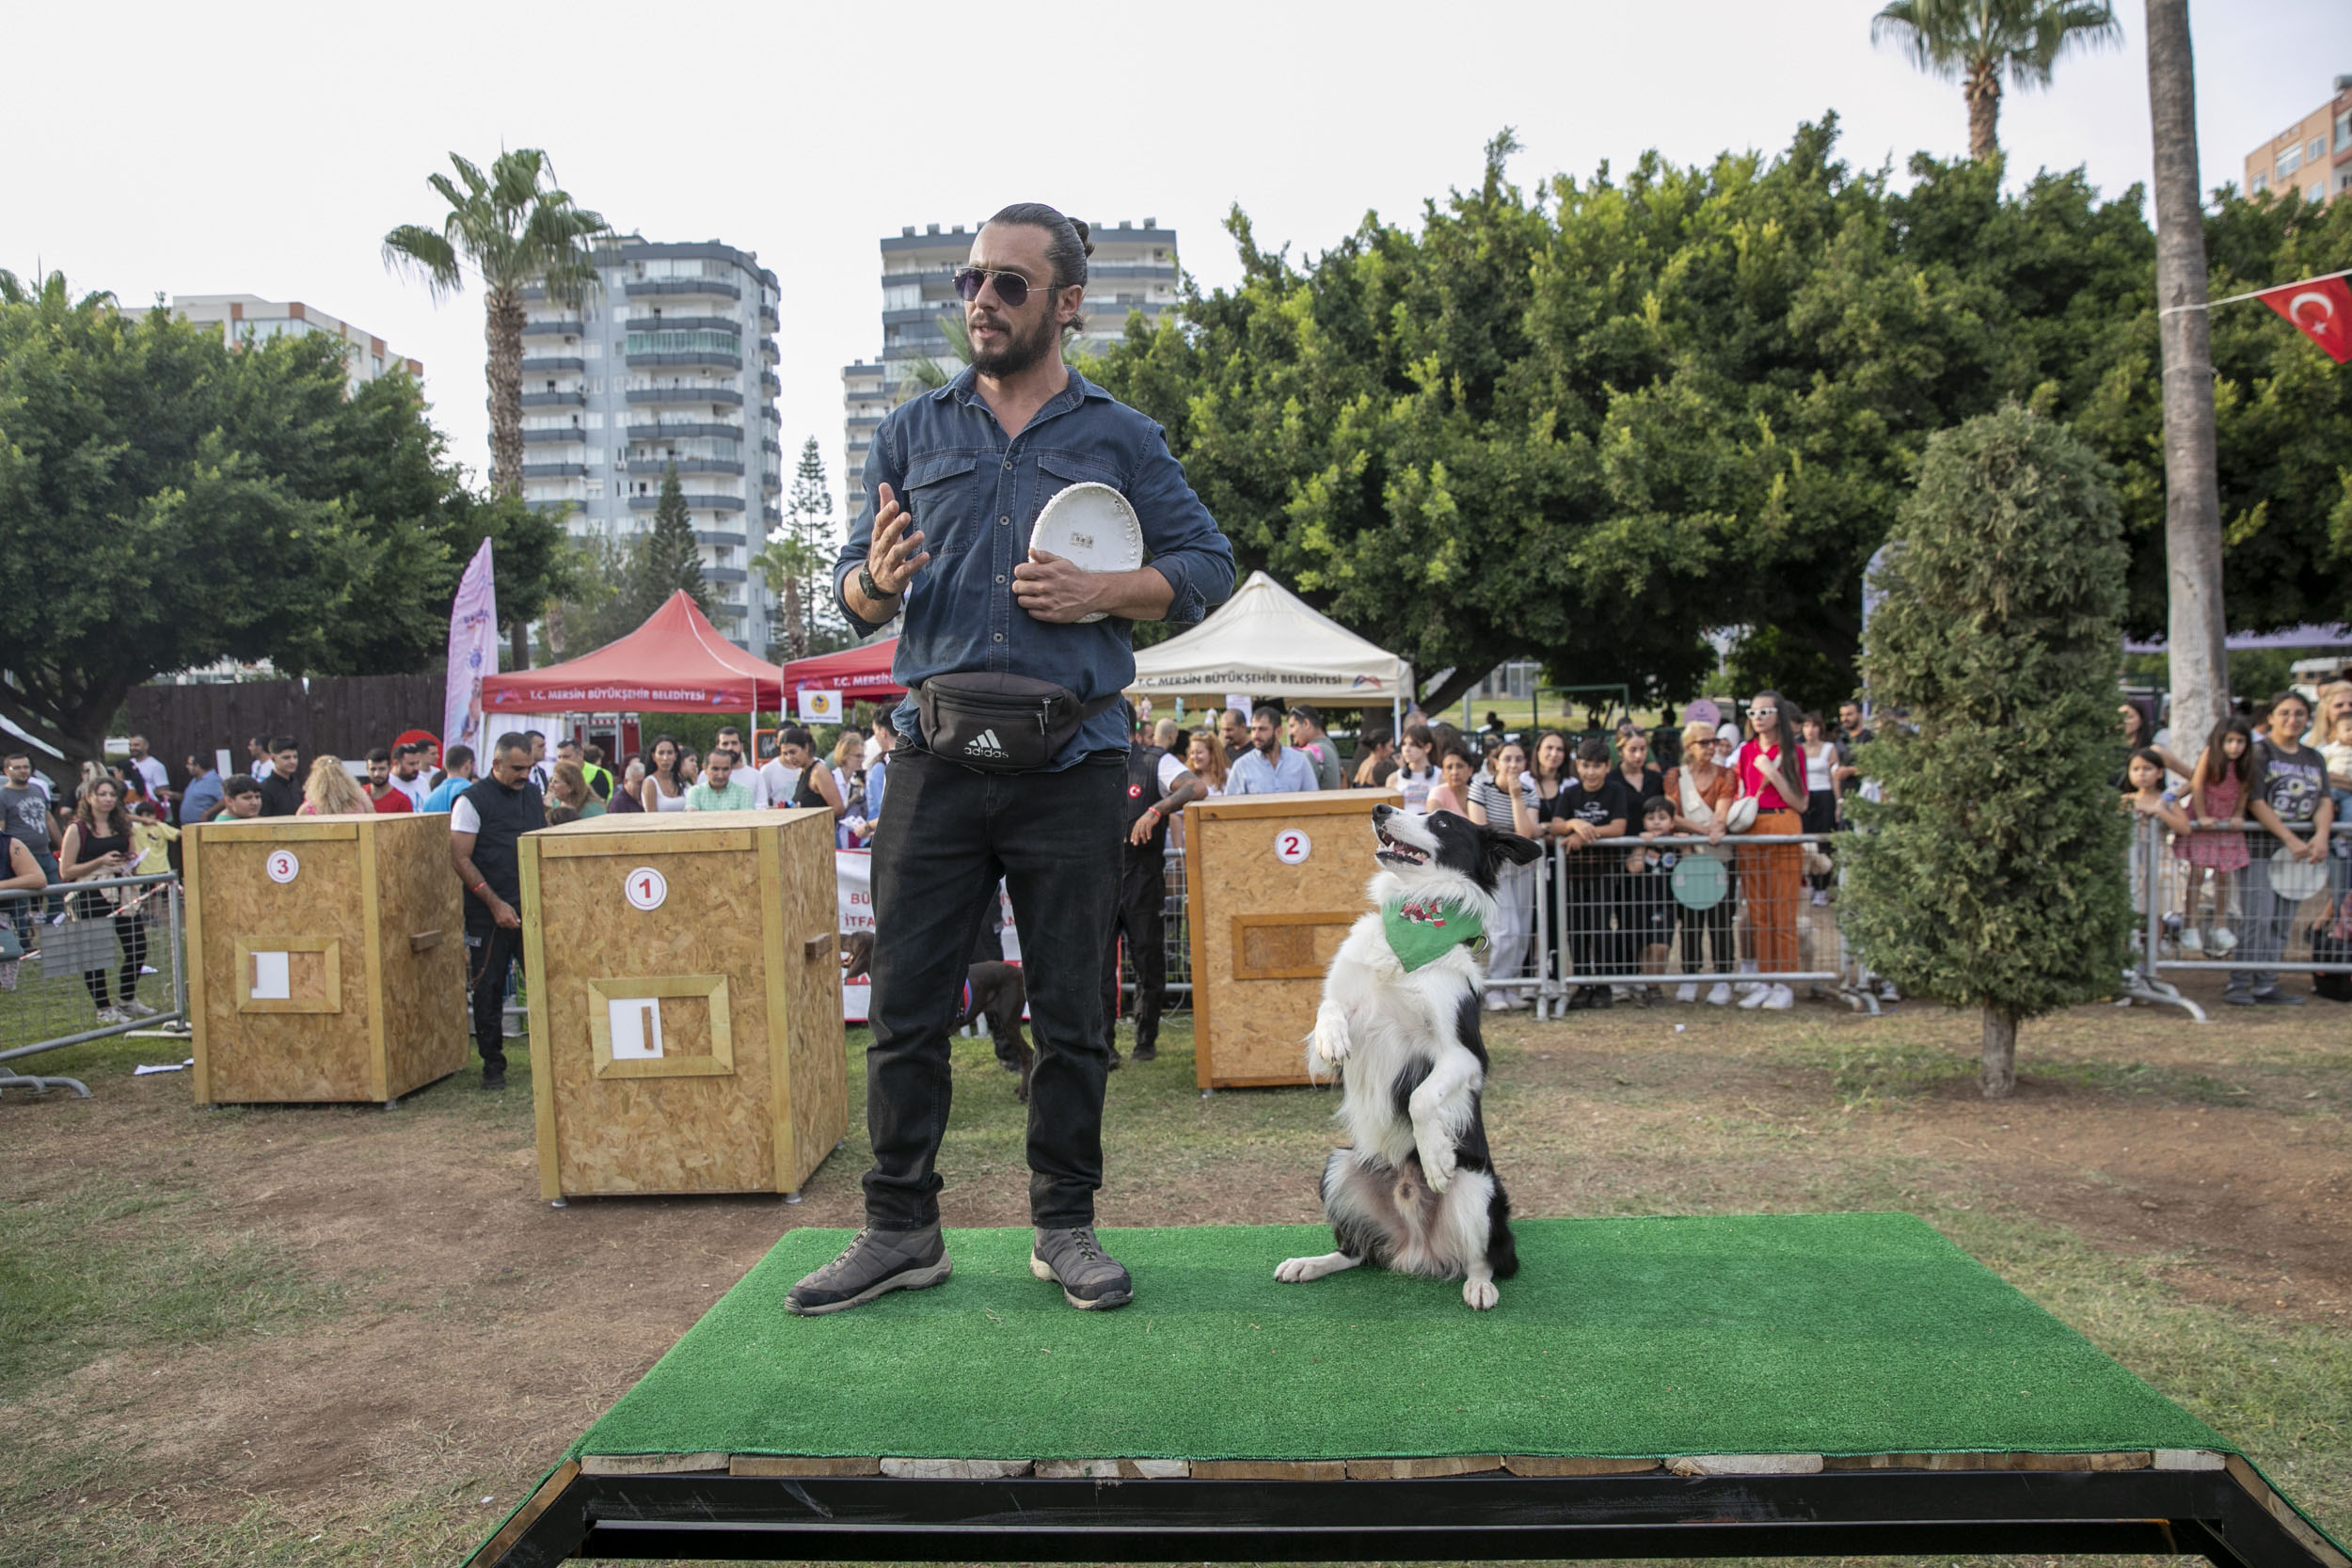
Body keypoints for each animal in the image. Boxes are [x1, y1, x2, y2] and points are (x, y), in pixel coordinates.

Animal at [842, 930, 1035, 1104]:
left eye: (853, 936)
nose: (840, 935)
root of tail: (1018, 971)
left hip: (1009, 1022)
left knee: (1028, 1054)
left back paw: (1023, 1093)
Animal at [1279, 808, 1552, 1316]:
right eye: (1416, 808)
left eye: (1442, 822)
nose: (1380, 810)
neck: (1411, 926)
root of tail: (1416, 1250)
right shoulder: (1334, 1034)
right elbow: (1329, 1011)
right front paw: (1332, 1037)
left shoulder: (1464, 1054)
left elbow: (1422, 1098)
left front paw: (1436, 1156)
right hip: (1339, 1165)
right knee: (1357, 1251)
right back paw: (1310, 1264)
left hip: (1480, 1190)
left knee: (1485, 1259)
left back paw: (1479, 1285)